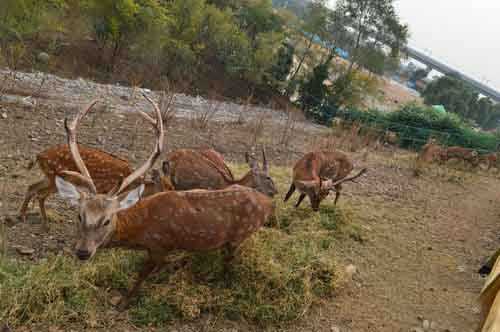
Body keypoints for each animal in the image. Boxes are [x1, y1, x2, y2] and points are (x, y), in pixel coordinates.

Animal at [18, 96, 171, 228]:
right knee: (40, 194)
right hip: (55, 177)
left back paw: (24, 216)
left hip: (49, 176)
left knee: (32, 187)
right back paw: (41, 220)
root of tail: (39, 155)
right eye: (166, 187)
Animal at [55, 96, 274, 312]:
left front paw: (122, 302)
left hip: (239, 236)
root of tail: (267, 203)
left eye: (107, 220)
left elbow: (142, 275)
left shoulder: (160, 246)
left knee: (228, 264)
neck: (141, 231)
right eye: (79, 215)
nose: (83, 252)